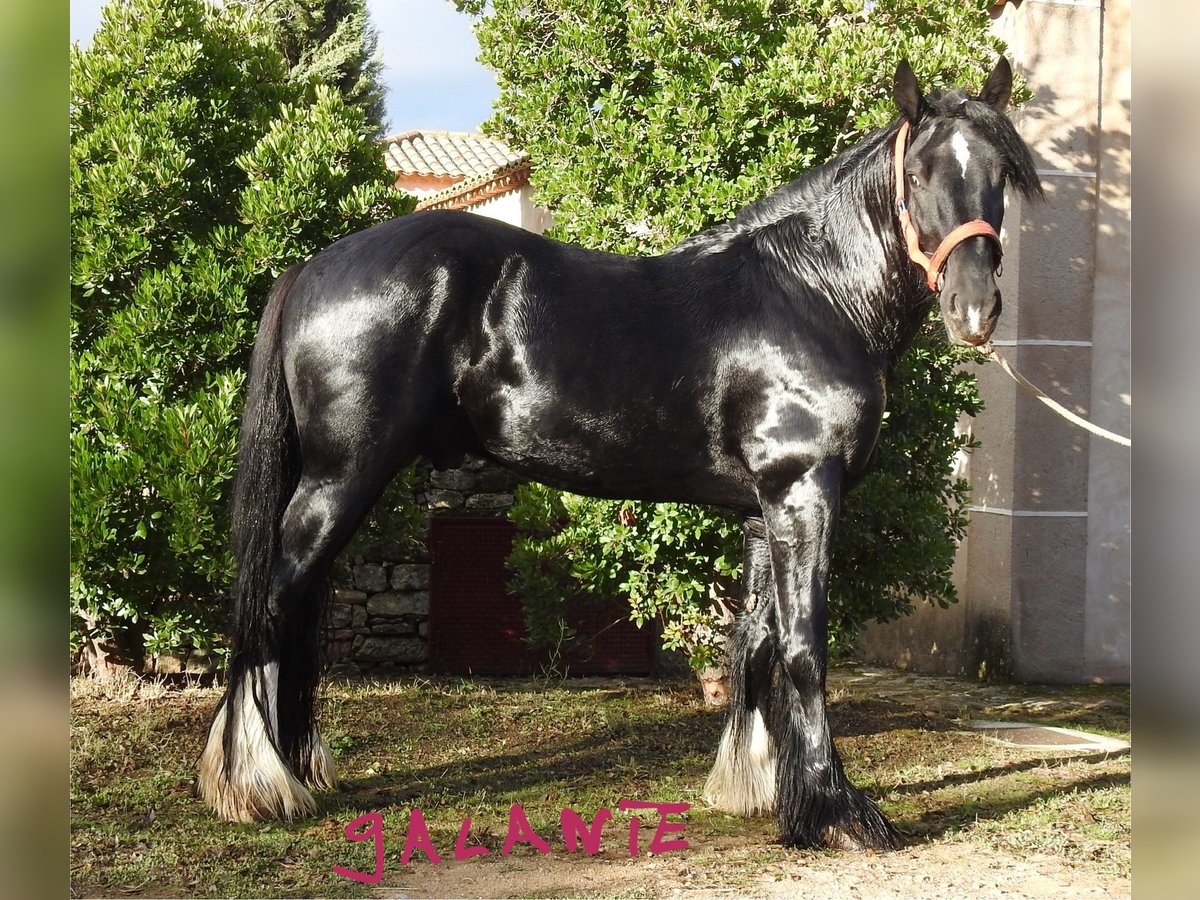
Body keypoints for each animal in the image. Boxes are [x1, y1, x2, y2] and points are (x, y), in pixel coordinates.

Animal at [199, 58, 1041, 854]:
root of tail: (312, 267)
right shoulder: (804, 490)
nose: (975, 309)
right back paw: (255, 783)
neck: (810, 293)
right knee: (270, 602)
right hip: (342, 476)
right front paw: (837, 814)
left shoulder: (765, 505)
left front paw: (757, 790)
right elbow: (805, 649)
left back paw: (288, 766)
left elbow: (757, 641)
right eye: (920, 174)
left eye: (1000, 174)